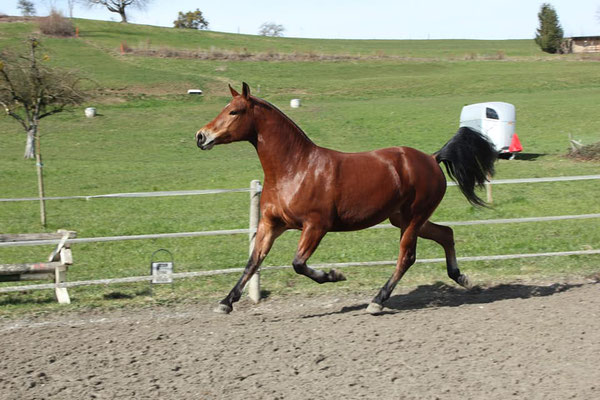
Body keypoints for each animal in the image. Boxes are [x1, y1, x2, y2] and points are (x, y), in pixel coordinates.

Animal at [197, 83, 496, 316]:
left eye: (234, 111)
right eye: (225, 108)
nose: (201, 136)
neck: (295, 168)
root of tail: (432, 159)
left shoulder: (316, 226)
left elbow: (298, 263)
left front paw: (334, 275)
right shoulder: (271, 224)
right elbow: (253, 262)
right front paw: (225, 302)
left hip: (414, 218)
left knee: (407, 257)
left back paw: (377, 301)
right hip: (403, 218)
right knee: (446, 233)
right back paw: (462, 278)